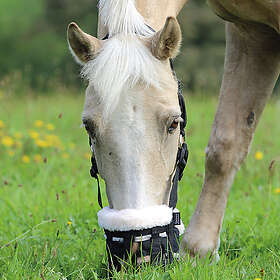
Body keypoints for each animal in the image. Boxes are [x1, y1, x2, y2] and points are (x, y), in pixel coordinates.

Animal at [67, 0, 280, 266]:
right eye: (89, 127)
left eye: (173, 124)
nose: (138, 250)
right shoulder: (250, 32)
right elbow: (225, 146)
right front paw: (199, 252)